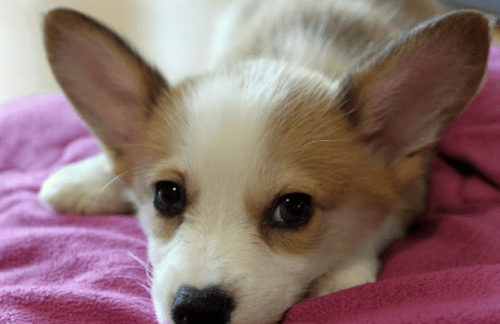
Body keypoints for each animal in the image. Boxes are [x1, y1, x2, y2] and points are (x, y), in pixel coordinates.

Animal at [38, 0, 492, 324]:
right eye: (166, 195)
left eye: (294, 208)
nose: (197, 309)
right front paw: (86, 179)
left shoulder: (411, 193)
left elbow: (371, 231)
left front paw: (341, 278)